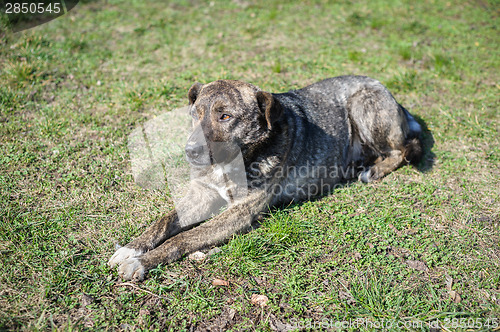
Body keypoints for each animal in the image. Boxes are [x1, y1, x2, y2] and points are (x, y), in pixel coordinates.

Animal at [108, 75, 422, 280]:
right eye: (195, 114)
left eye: (225, 116)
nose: (190, 151)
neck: (235, 161)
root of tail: (391, 95)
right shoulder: (202, 194)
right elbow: (164, 221)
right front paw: (132, 248)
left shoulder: (240, 212)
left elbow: (185, 237)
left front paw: (142, 262)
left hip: (363, 106)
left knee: (404, 149)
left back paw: (374, 169)